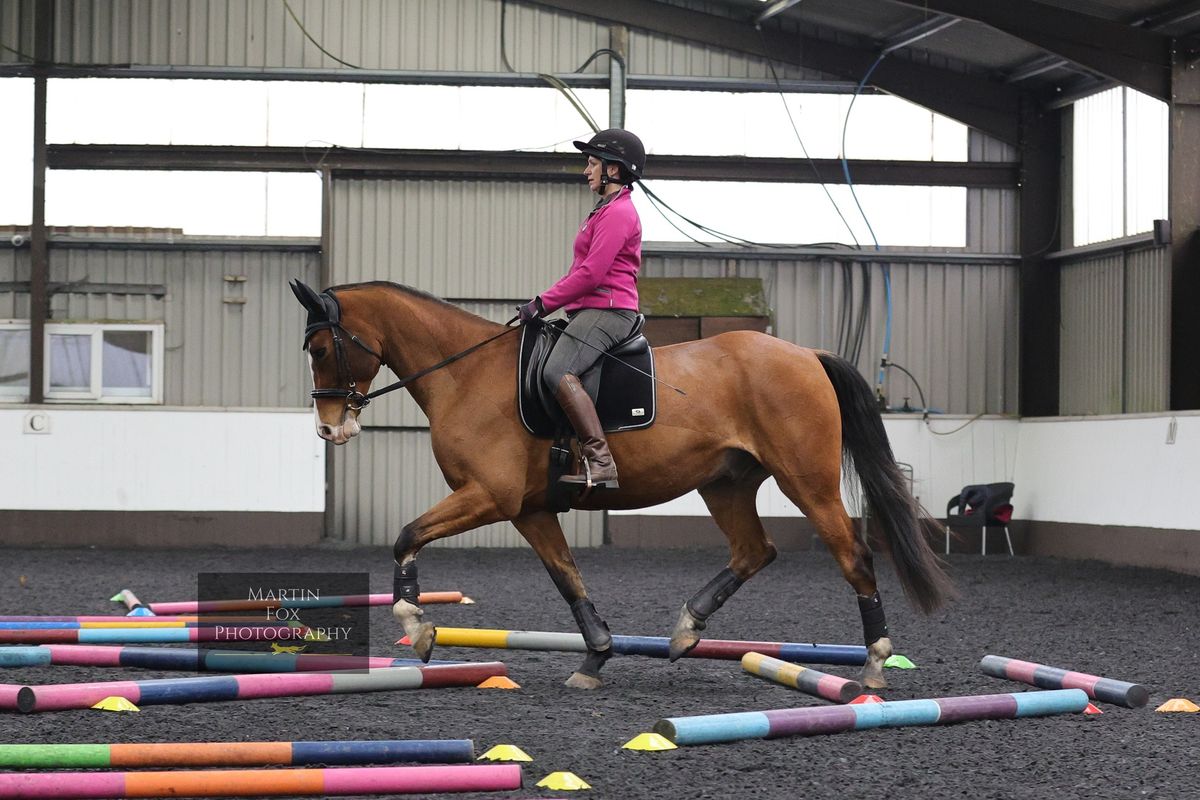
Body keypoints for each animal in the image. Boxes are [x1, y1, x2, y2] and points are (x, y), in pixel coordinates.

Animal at [288, 280, 945, 690]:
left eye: (319, 347)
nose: (329, 427)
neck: (465, 372)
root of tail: (806, 354)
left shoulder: (489, 497)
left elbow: (406, 535)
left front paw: (415, 625)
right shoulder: (528, 510)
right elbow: (567, 578)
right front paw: (596, 657)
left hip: (807, 481)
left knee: (853, 556)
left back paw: (875, 665)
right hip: (726, 484)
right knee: (754, 550)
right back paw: (684, 632)